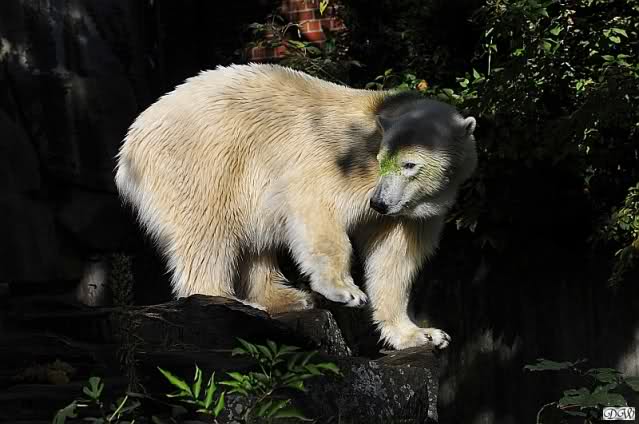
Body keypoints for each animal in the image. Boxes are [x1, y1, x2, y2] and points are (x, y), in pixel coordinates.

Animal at [115, 63, 477, 350]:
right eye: (381, 160)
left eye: (409, 165)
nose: (380, 202)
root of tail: (131, 140)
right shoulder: (343, 163)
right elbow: (318, 209)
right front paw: (346, 291)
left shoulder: (409, 212)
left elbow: (394, 261)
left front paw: (424, 334)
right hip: (202, 160)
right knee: (208, 232)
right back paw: (228, 300)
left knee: (254, 240)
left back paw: (288, 297)